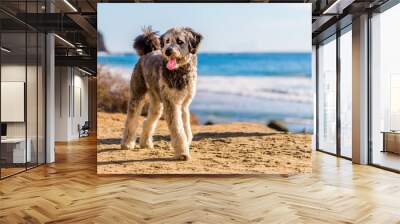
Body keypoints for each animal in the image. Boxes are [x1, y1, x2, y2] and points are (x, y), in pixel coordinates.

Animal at [121, 27, 203, 160]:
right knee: (131, 119)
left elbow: (186, 127)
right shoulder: (172, 103)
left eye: (180, 41)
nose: (167, 51)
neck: (179, 72)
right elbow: (178, 129)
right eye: (167, 41)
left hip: (157, 102)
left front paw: (186, 142)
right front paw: (182, 152)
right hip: (137, 94)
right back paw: (127, 143)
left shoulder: (184, 104)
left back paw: (145, 143)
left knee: (148, 120)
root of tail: (147, 53)